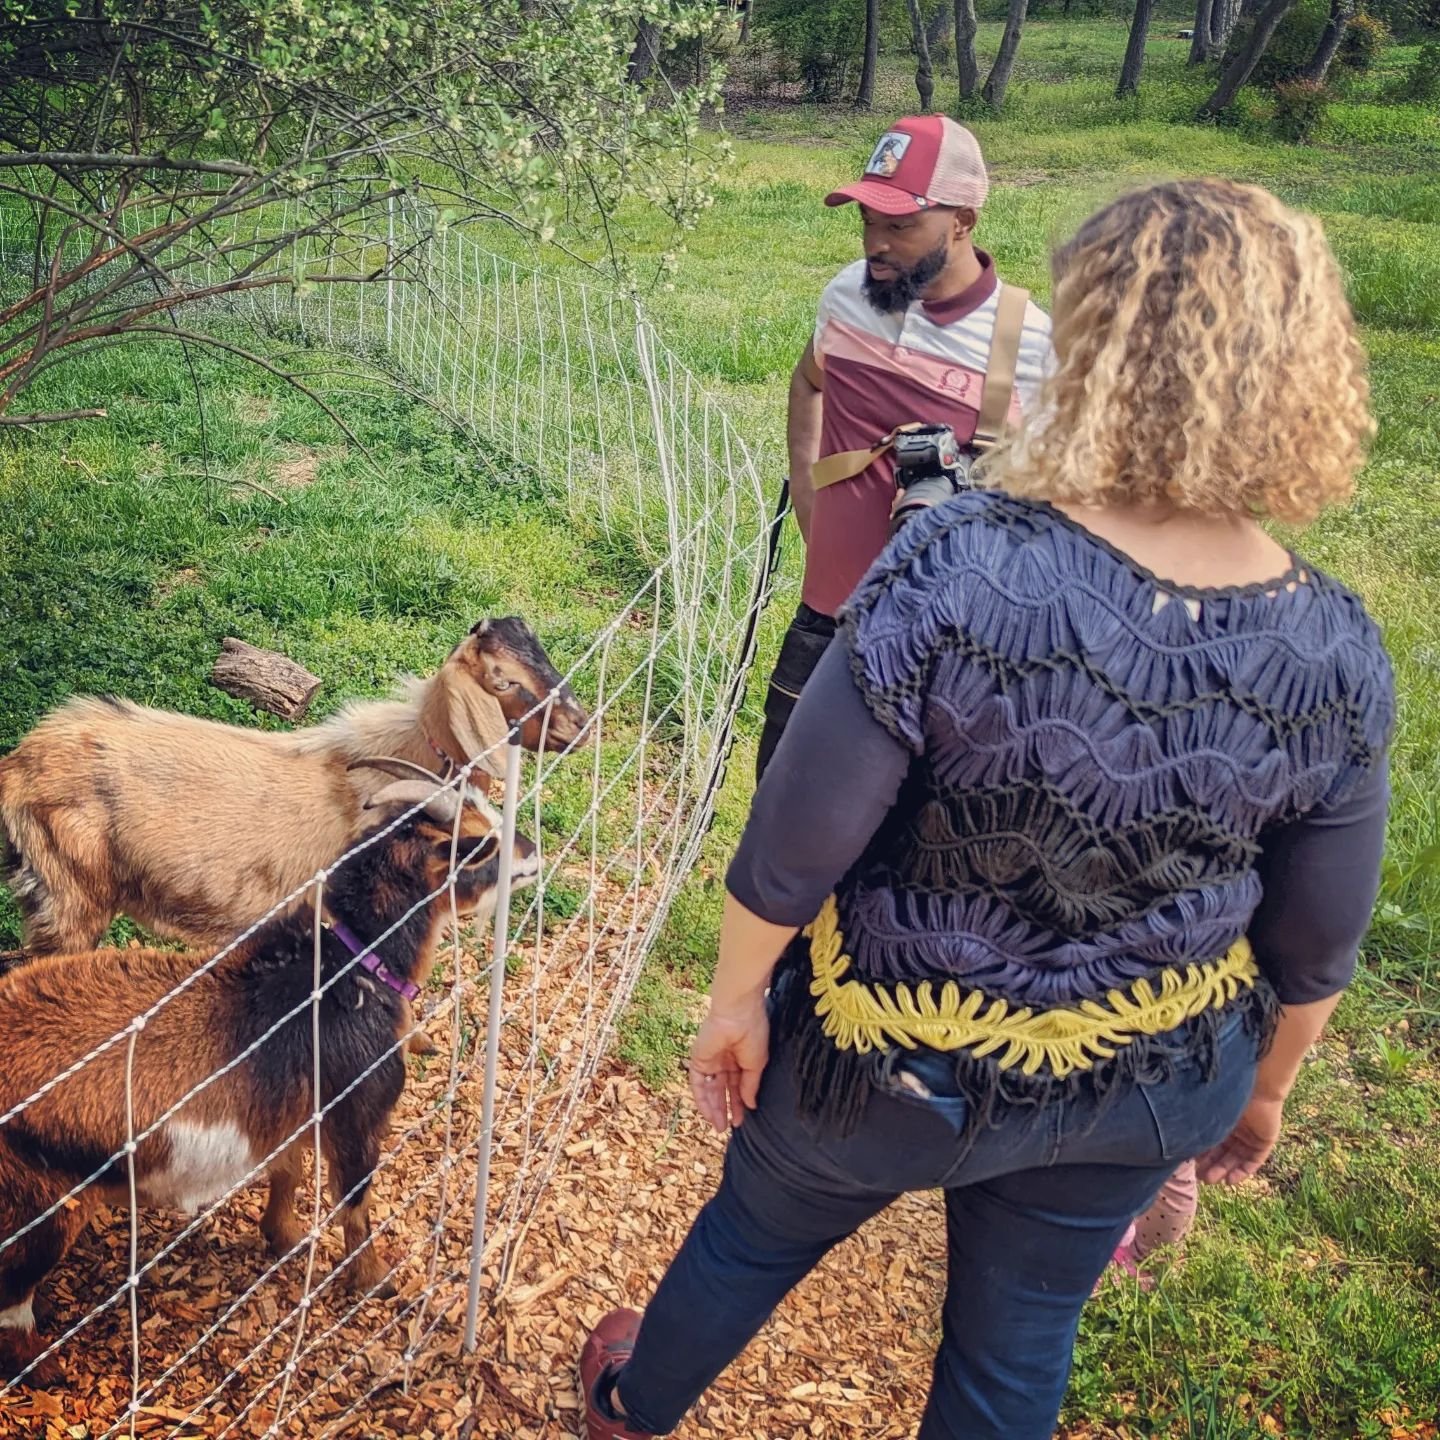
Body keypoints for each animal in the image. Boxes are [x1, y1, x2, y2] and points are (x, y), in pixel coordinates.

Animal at [0, 777, 538, 1393]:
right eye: (479, 844)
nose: (532, 854)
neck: (346, 972)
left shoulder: (291, 1110)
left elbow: (288, 1171)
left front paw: (284, 1236)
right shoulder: (357, 1113)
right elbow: (355, 1201)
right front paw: (375, 1278)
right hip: (37, 1210)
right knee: (11, 1300)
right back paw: (46, 1370)